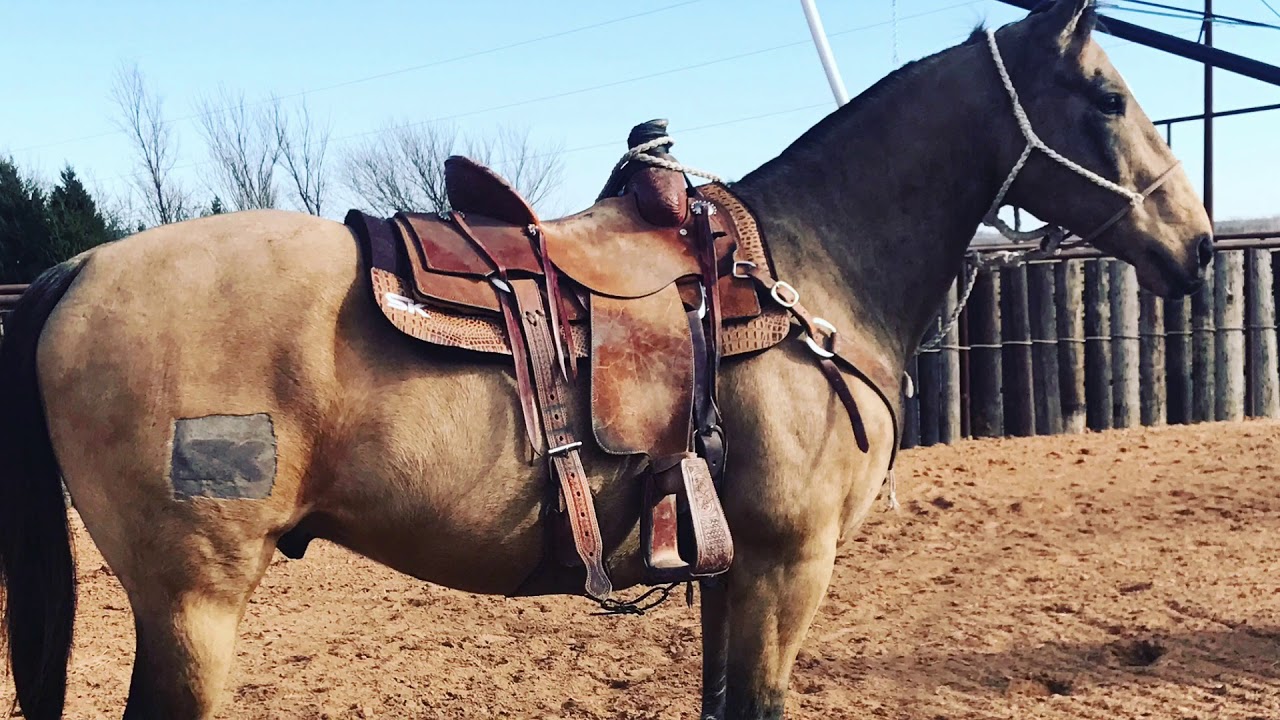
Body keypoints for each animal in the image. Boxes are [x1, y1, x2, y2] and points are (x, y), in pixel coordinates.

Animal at [0, 1, 1212, 718]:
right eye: (1109, 97)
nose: (1194, 245)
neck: (810, 266)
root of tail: (81, 266)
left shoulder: (731, 571)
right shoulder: (787, 565)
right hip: (193, 604)